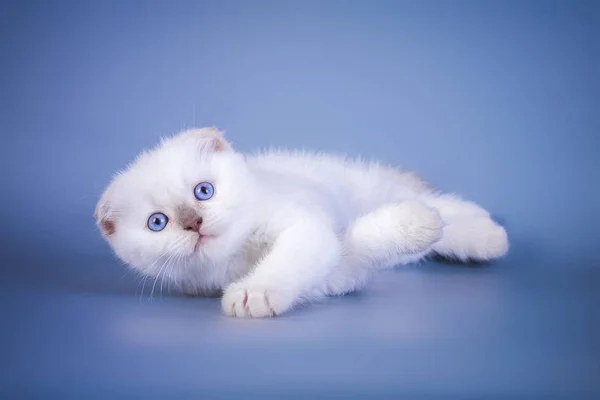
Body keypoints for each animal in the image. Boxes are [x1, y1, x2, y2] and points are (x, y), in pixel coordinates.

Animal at [96, 126, 508, 318]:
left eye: (203, 191)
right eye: (158, 223)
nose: (194, 222)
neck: (239, 255)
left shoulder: (304, 225)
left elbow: (293, 255)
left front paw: (255, 292)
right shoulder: (338, 274)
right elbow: (357, 246)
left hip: (370, 186)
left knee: (437, 203)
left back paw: (488, 232)